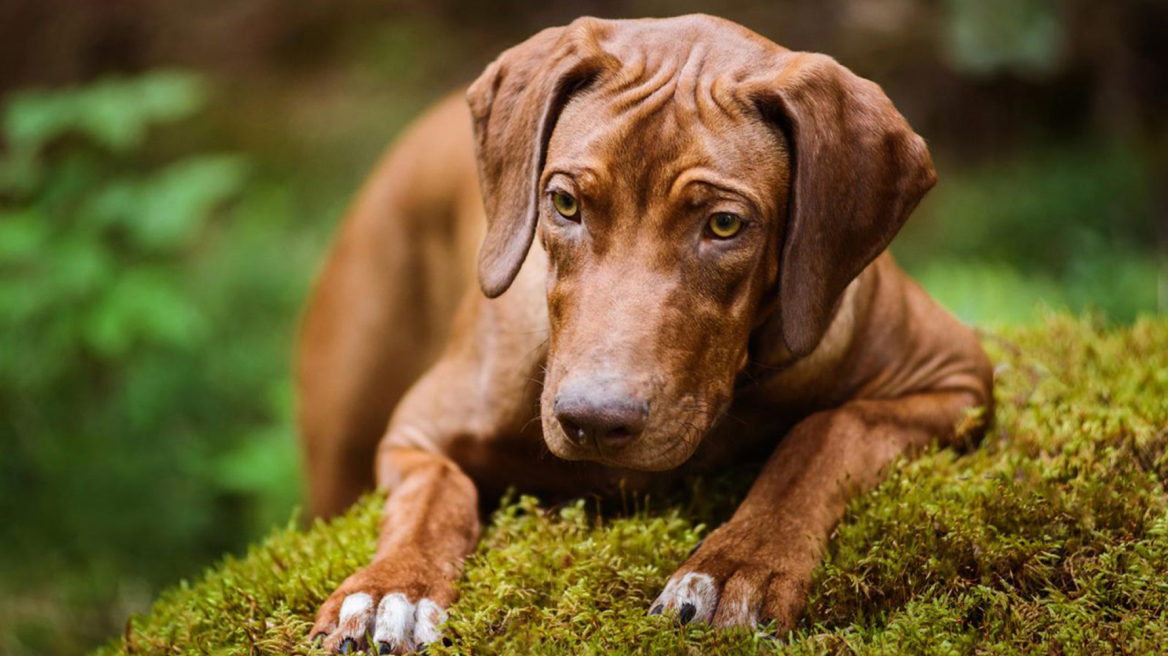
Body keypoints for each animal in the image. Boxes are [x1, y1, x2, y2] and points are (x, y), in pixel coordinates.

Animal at [296, 16, 990, 653]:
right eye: (565, 204)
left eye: (724, 224)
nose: (594, 421)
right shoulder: (416, 432)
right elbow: (434, 491)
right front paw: (392, 589)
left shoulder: (960, 379)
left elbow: (825, 435)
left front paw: (736, 567)